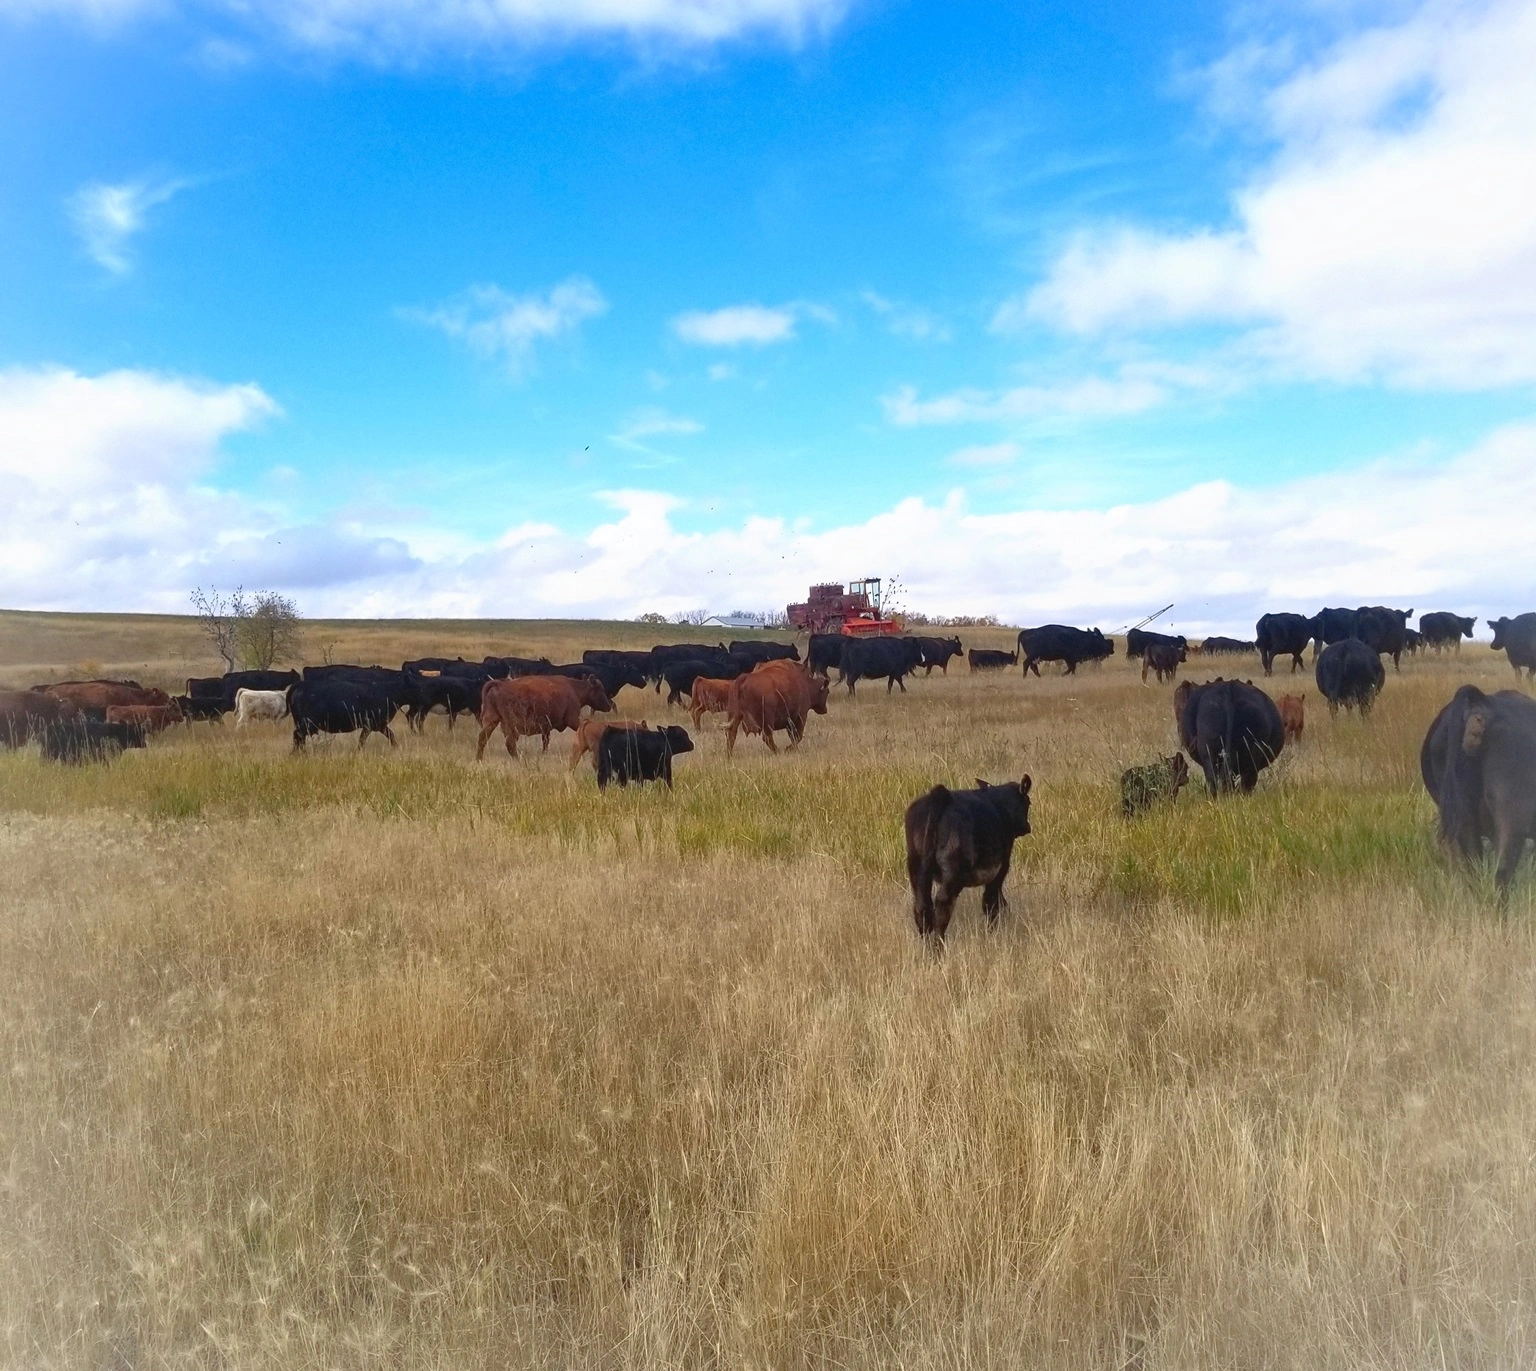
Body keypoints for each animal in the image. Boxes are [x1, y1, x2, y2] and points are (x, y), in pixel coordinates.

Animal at [474, 674, 613, 760]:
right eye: (601, 690)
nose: (608, 706)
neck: (574, 689)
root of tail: (500, 684)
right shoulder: (573, 720)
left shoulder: (546, 728)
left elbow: (545, 742)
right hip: (511, 724)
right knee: (510, 743)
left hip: (492, 721)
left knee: (482, 738)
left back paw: (479, 759)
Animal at [904, 775, 1033, 940]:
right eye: (1028, 802)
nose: (1027, 827)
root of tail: (940, 796)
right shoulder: (1001, 868)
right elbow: (992, 902)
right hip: (952, 873)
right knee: (943, 904)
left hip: (916, 868)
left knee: (922, 907)